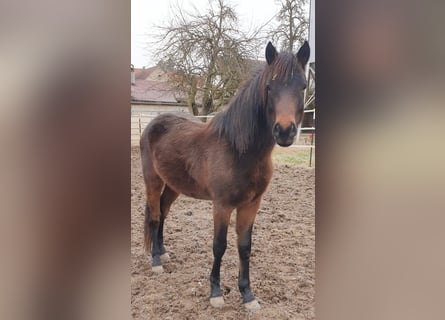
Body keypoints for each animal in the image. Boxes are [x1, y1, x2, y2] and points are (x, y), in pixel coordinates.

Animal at [139, 41, 308, 312]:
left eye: (303, 86)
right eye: (269, 87)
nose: (284, 131)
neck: (239, 150)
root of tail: (154, 123)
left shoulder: (251, 205)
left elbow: (245, 247)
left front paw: (248, 295)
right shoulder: (222, 205)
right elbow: (219, 246)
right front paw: (216, 293)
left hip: (174, 186)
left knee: (163, 212)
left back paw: (162, 251)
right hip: (152, 181)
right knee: (154, 216)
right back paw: (156, 262)